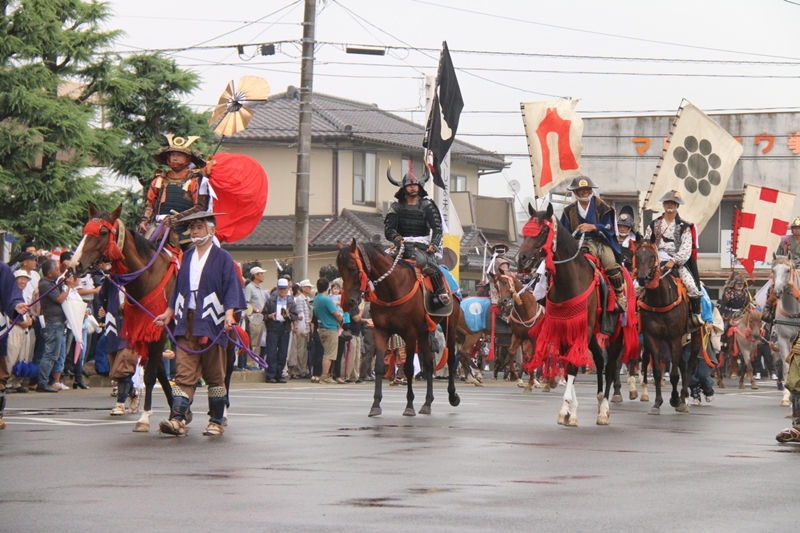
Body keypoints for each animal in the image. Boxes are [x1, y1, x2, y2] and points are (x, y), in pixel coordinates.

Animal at [338, 239, 462, 418]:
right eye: (339, 270)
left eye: (352, 268)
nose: (349, 302)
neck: (391, 289)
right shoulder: (381, 331)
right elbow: (379, 366)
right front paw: (375, 405)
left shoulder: (409, 333)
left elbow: (409, 368)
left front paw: (409, 405)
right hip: (424, 332)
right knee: (429, 363)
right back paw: (427, 403)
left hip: (449, 327)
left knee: (451, 359)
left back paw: (453, 396)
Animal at [520, 202, 636, 426]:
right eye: (525, 232)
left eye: (544, 230)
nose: (520, 258)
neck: (569, 281)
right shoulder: (566, 326)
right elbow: (567, 364)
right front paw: (571, 411)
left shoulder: (583, 327)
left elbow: (574, 365)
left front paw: (565, 410)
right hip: (592, 336)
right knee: (599, 360)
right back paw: (599, 401)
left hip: (615, 332)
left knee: (610, 366)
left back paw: (604, 410)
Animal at [632, 239, 700, 414]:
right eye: (637, 255)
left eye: (651, 256)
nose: (642, 278)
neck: (659, 300)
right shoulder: (652, 337)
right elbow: (657, 371)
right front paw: (657, 403)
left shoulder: (673, 338)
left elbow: (675, 374)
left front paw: (675, 399)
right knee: (683, 363)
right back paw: (683, 398)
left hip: (695, 336)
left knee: (690, 364)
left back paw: (683, 398)